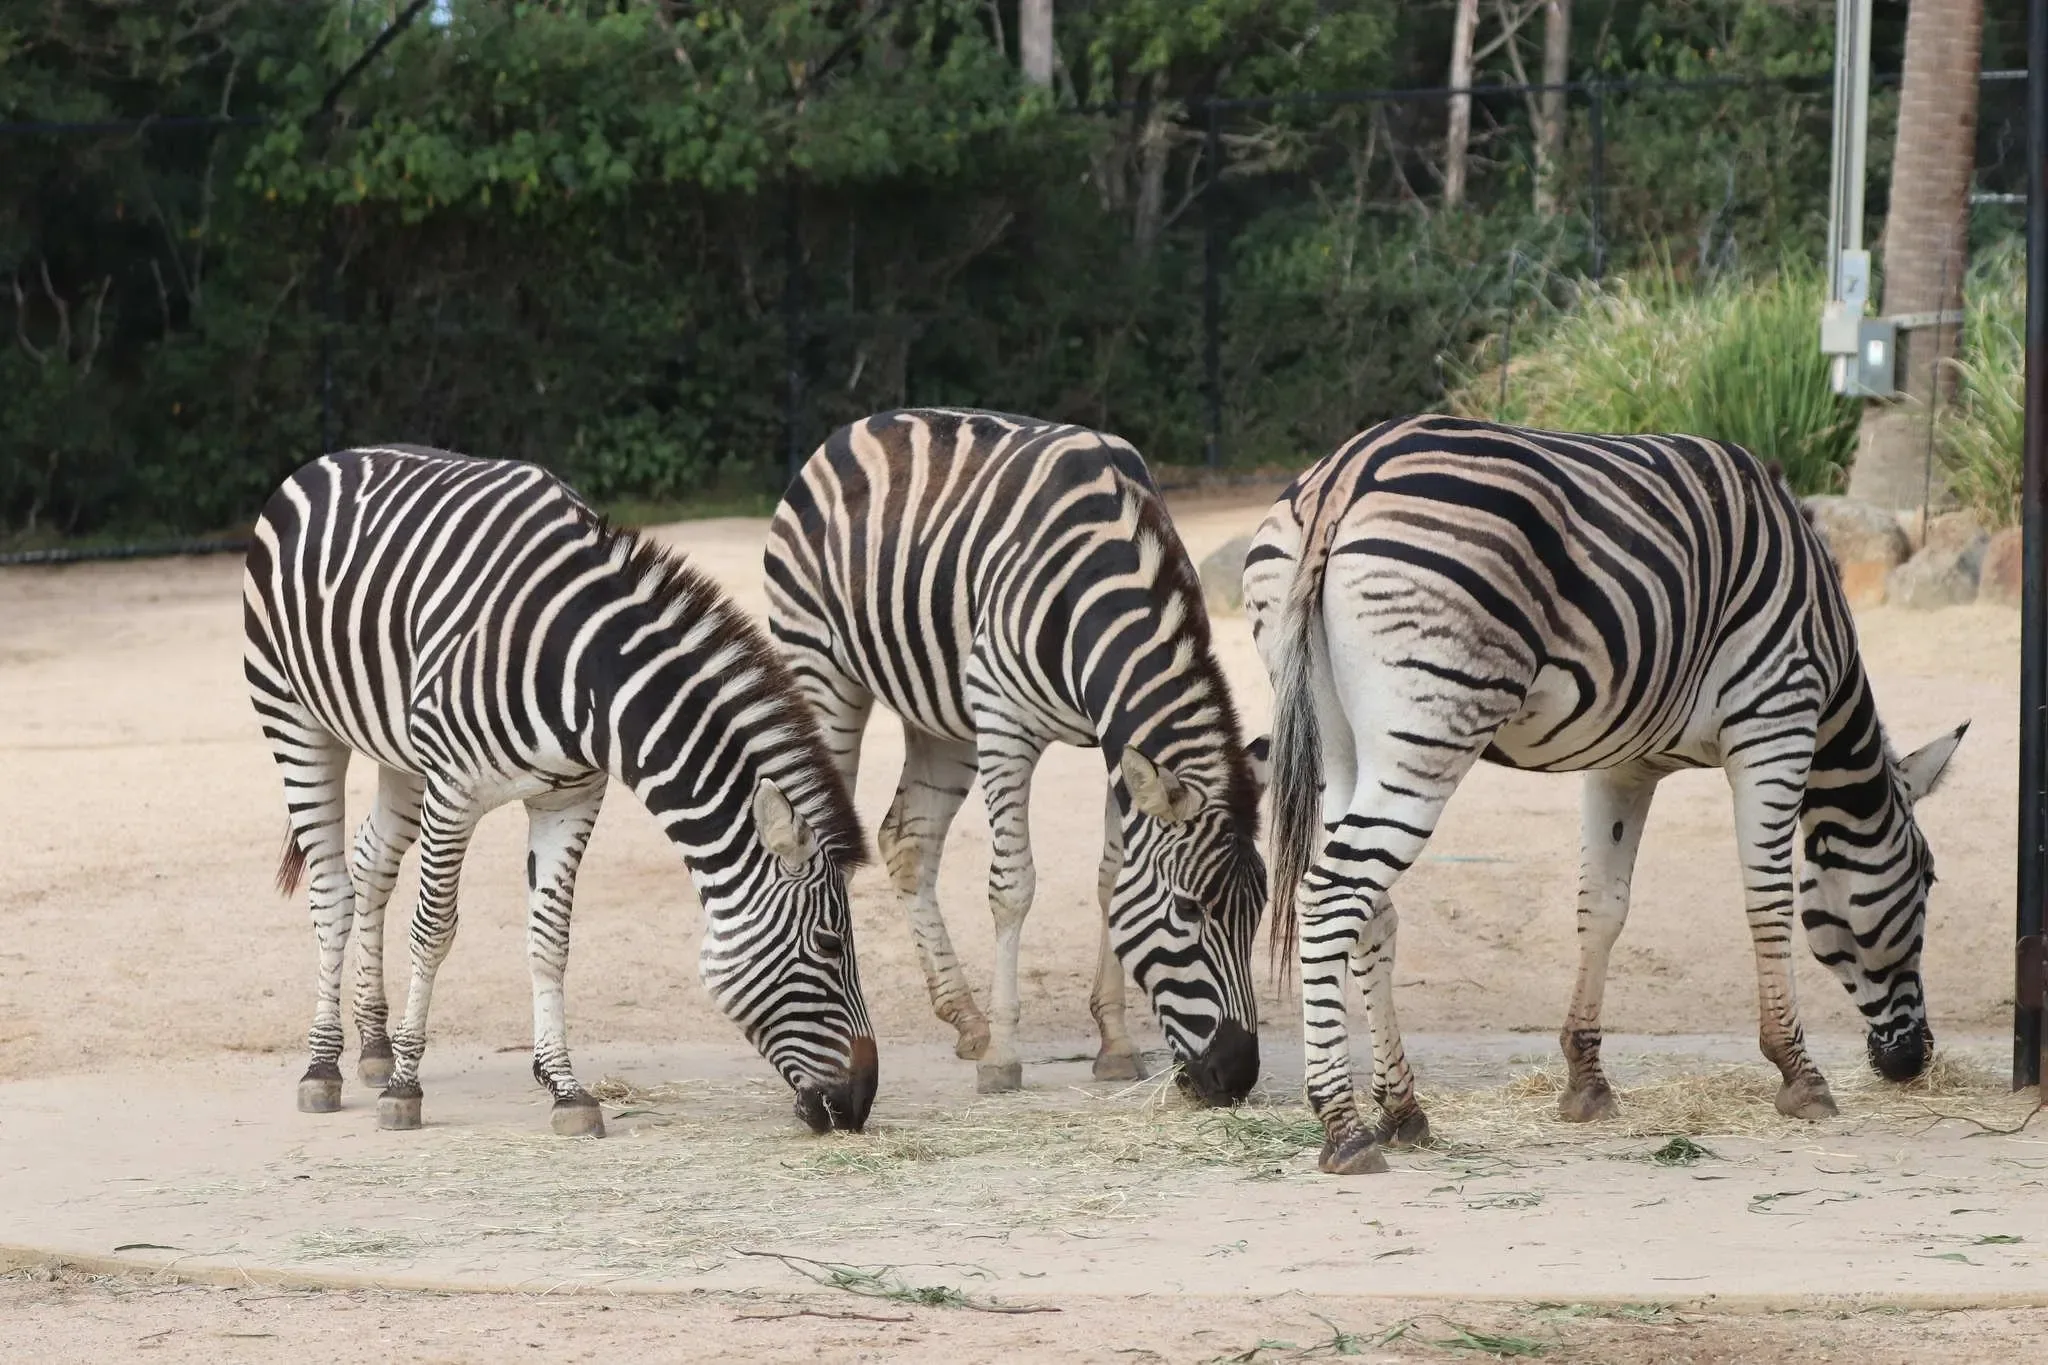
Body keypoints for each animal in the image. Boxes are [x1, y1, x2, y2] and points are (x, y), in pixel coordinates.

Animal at [243, 448, 876, 1146]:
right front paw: (406, 1088)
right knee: (332, 890)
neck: (585, 674)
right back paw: (324, 1064)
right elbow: (433, 930)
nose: (861, 1104)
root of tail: (330, 459)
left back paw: (375, 1044)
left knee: (370, 865)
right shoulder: (454, 790)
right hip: (295, 717)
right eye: (828, 944)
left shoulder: (569, 798)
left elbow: (550, 938)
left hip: (399, 754)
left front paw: (564, 1087)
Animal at [761, 405, 1261, 1096]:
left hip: (941, 718)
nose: (1238, 1073)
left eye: (1259, 913)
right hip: (822, 673)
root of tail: (855, 427)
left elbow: (1110, 880)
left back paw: (965, 1018)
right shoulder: (1005, 724)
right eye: (1188, 908)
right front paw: (1003, 1056)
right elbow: (1012, 885)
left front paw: (1114, 1042)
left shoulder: (1113, 745)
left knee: (907, 842)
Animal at [1245, 417, 1966, 1178]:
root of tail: (1346, 472)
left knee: (1372, 910)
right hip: (1430, 730)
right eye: (1926, 880)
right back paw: (1344, 1126)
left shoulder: (1623, 764)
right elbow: (1768, 905)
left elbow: (1603, 910)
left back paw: (1401, 1110)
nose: (1914, 1060)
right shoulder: (1775, 721)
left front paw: (1586, 1082)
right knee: (1331, 894)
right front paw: (1799, 1073)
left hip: (1341, 743)